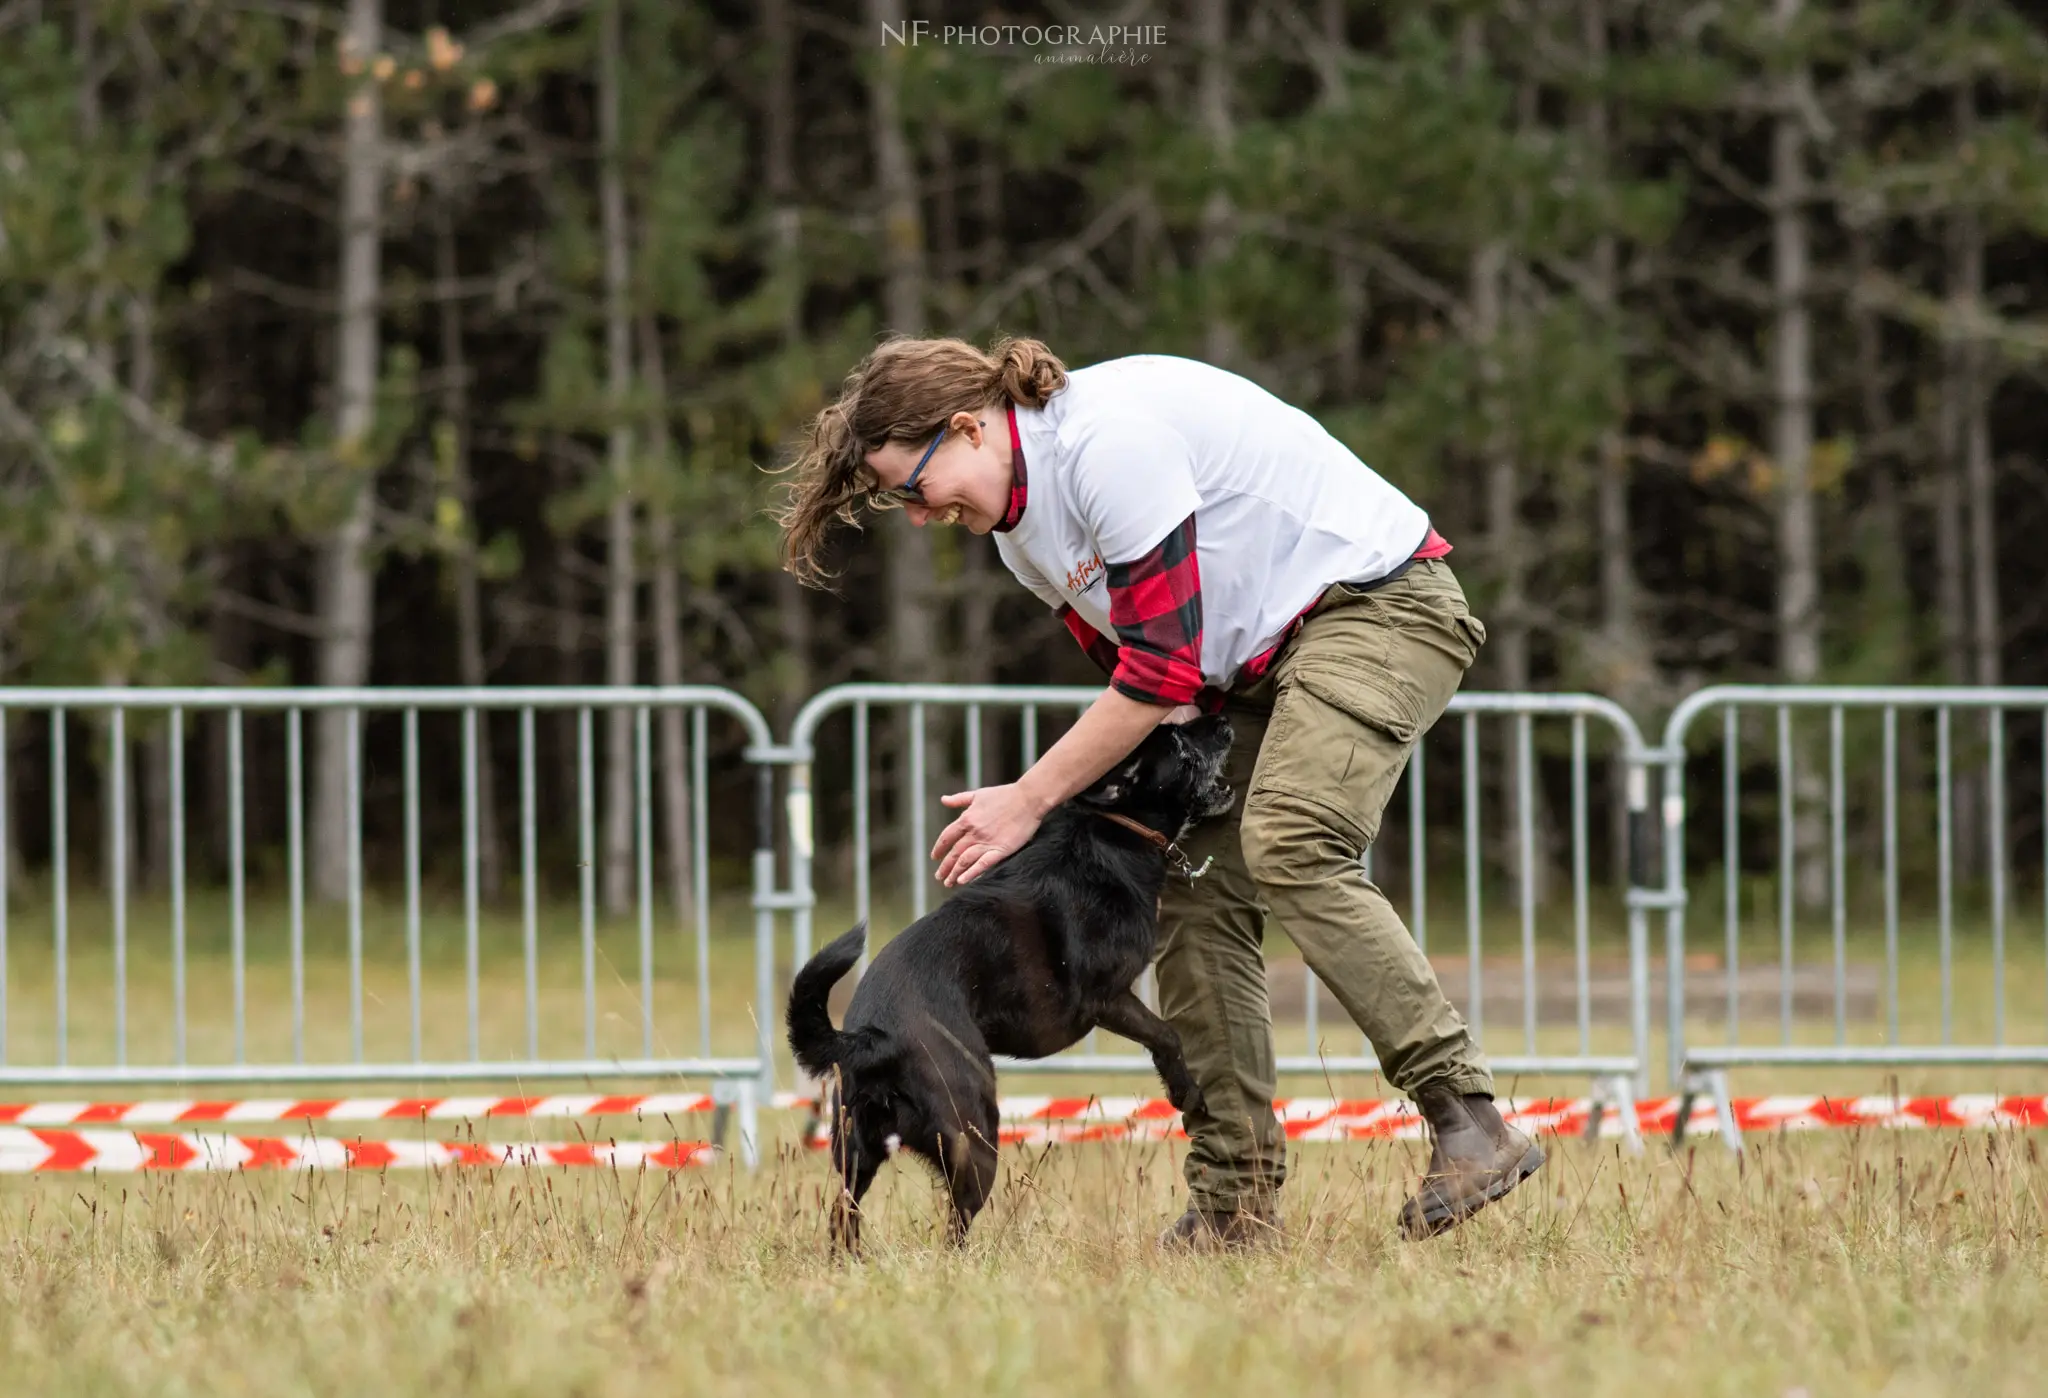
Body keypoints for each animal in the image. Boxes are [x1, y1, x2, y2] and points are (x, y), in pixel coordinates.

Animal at [782, 716, 1228, 1252]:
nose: (1222, 721)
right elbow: (1167, 1035)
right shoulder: (1107, 999)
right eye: (1181, 747)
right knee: (953, 1227)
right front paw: (1187, 1093)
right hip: (975, 1131)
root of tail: (872, 1038)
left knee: (843, 1213)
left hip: (856, 1150)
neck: (1115, 829)